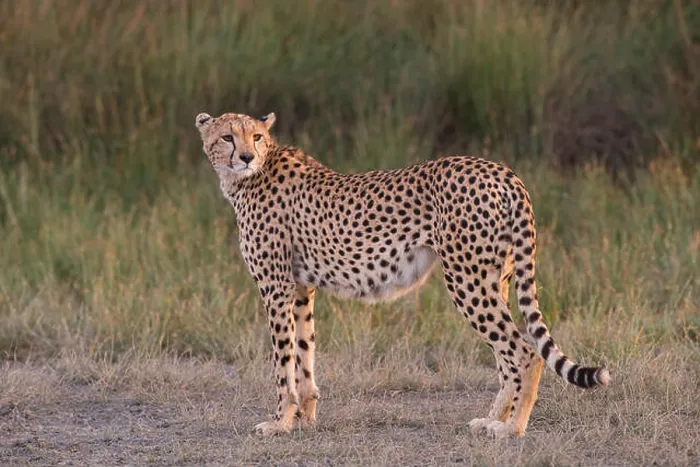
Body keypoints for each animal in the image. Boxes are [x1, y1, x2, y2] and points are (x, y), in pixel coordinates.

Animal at [195, 111, 610, 439]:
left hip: (466, 278)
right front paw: (304, 419)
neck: (251, 176)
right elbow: (304, 352)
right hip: (497, 277)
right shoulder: (300, 289)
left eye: (256, 136)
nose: (246, 156)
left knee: (523, 351)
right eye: (228, 136)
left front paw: (280, 422)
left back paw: (512, 429)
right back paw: (492, 420)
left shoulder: (276, 287)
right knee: (506, 354)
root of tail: (500, 169)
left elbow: (283, 362)